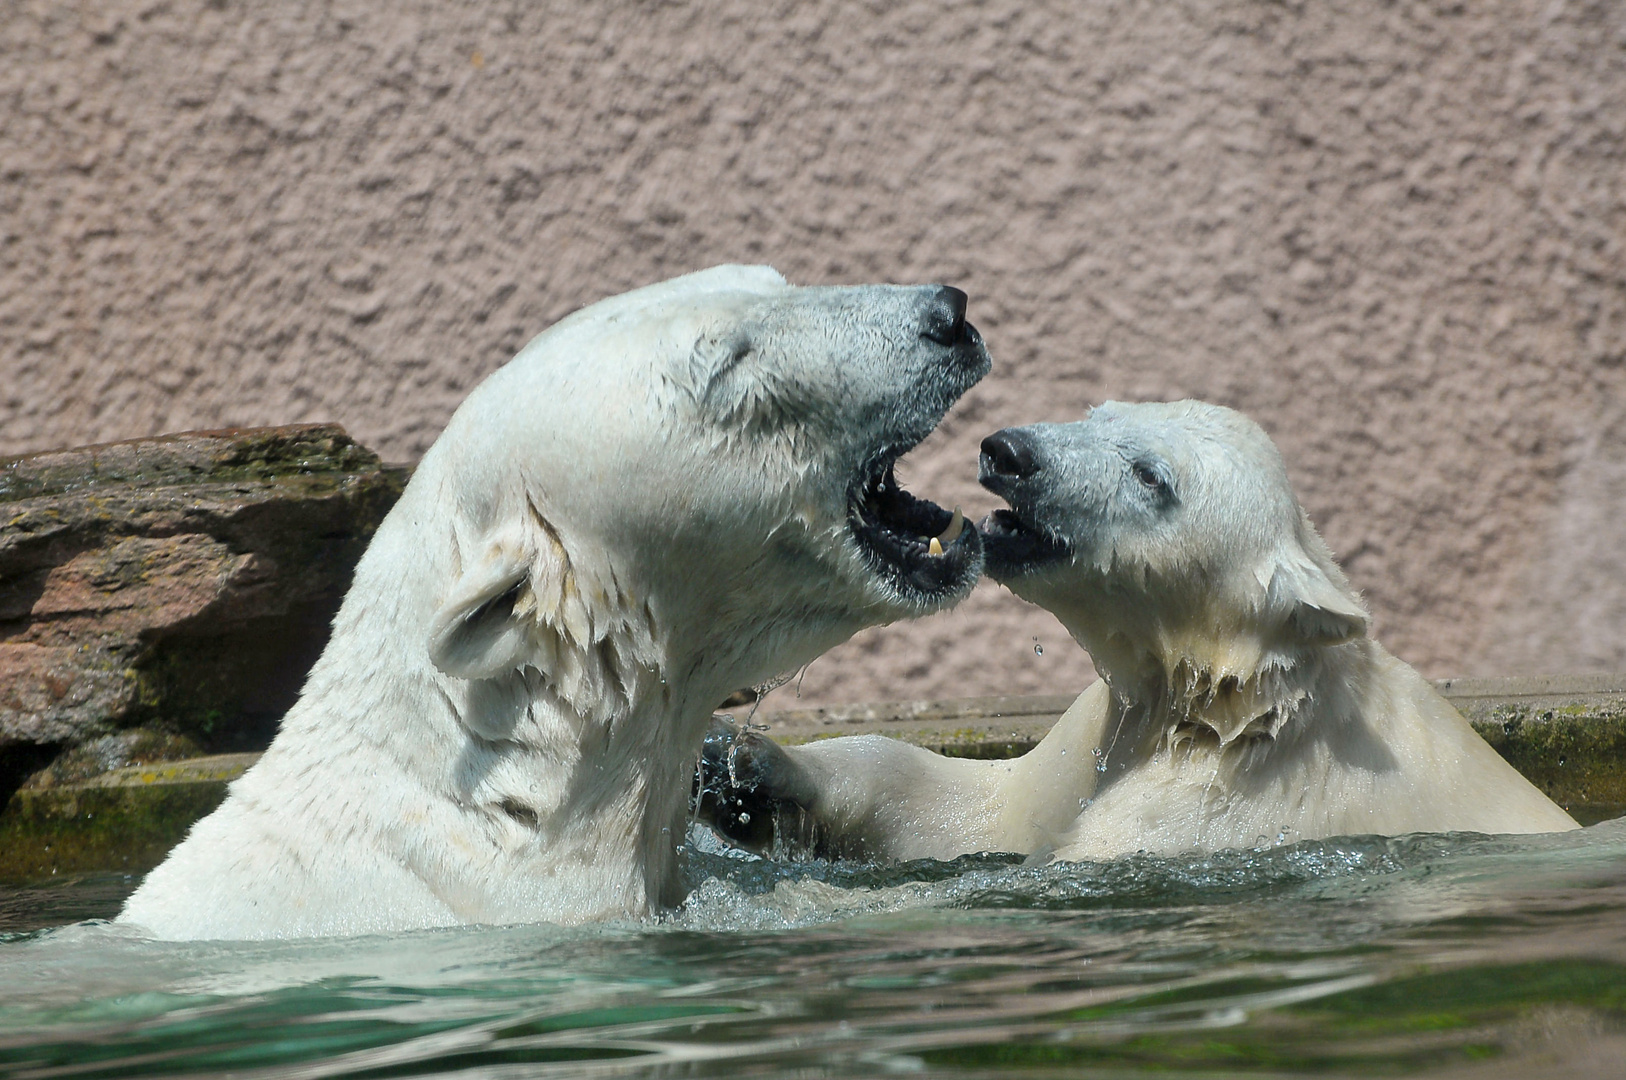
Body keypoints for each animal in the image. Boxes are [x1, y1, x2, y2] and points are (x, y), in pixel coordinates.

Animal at [702, 396, 1573, 858]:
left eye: (1151, 476)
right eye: (1097, 413)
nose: (1009, 450)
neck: (1228, 700)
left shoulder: (1211, 807)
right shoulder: (1095, 735)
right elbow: (972, 806)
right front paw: (741, 766)